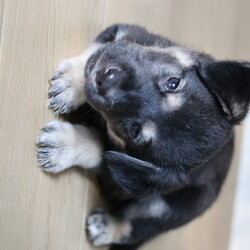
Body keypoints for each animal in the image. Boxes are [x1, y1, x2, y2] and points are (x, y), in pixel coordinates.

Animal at [36, 23, 250, 250]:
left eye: (134, 131)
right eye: (173, 83)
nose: (106, 78)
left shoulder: (118, 170)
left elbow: (99, 150)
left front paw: (62, 147)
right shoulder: (130, 34)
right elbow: (98, 48)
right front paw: (71, 84)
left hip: (174, 208)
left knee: (133, 228)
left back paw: (105, 227)